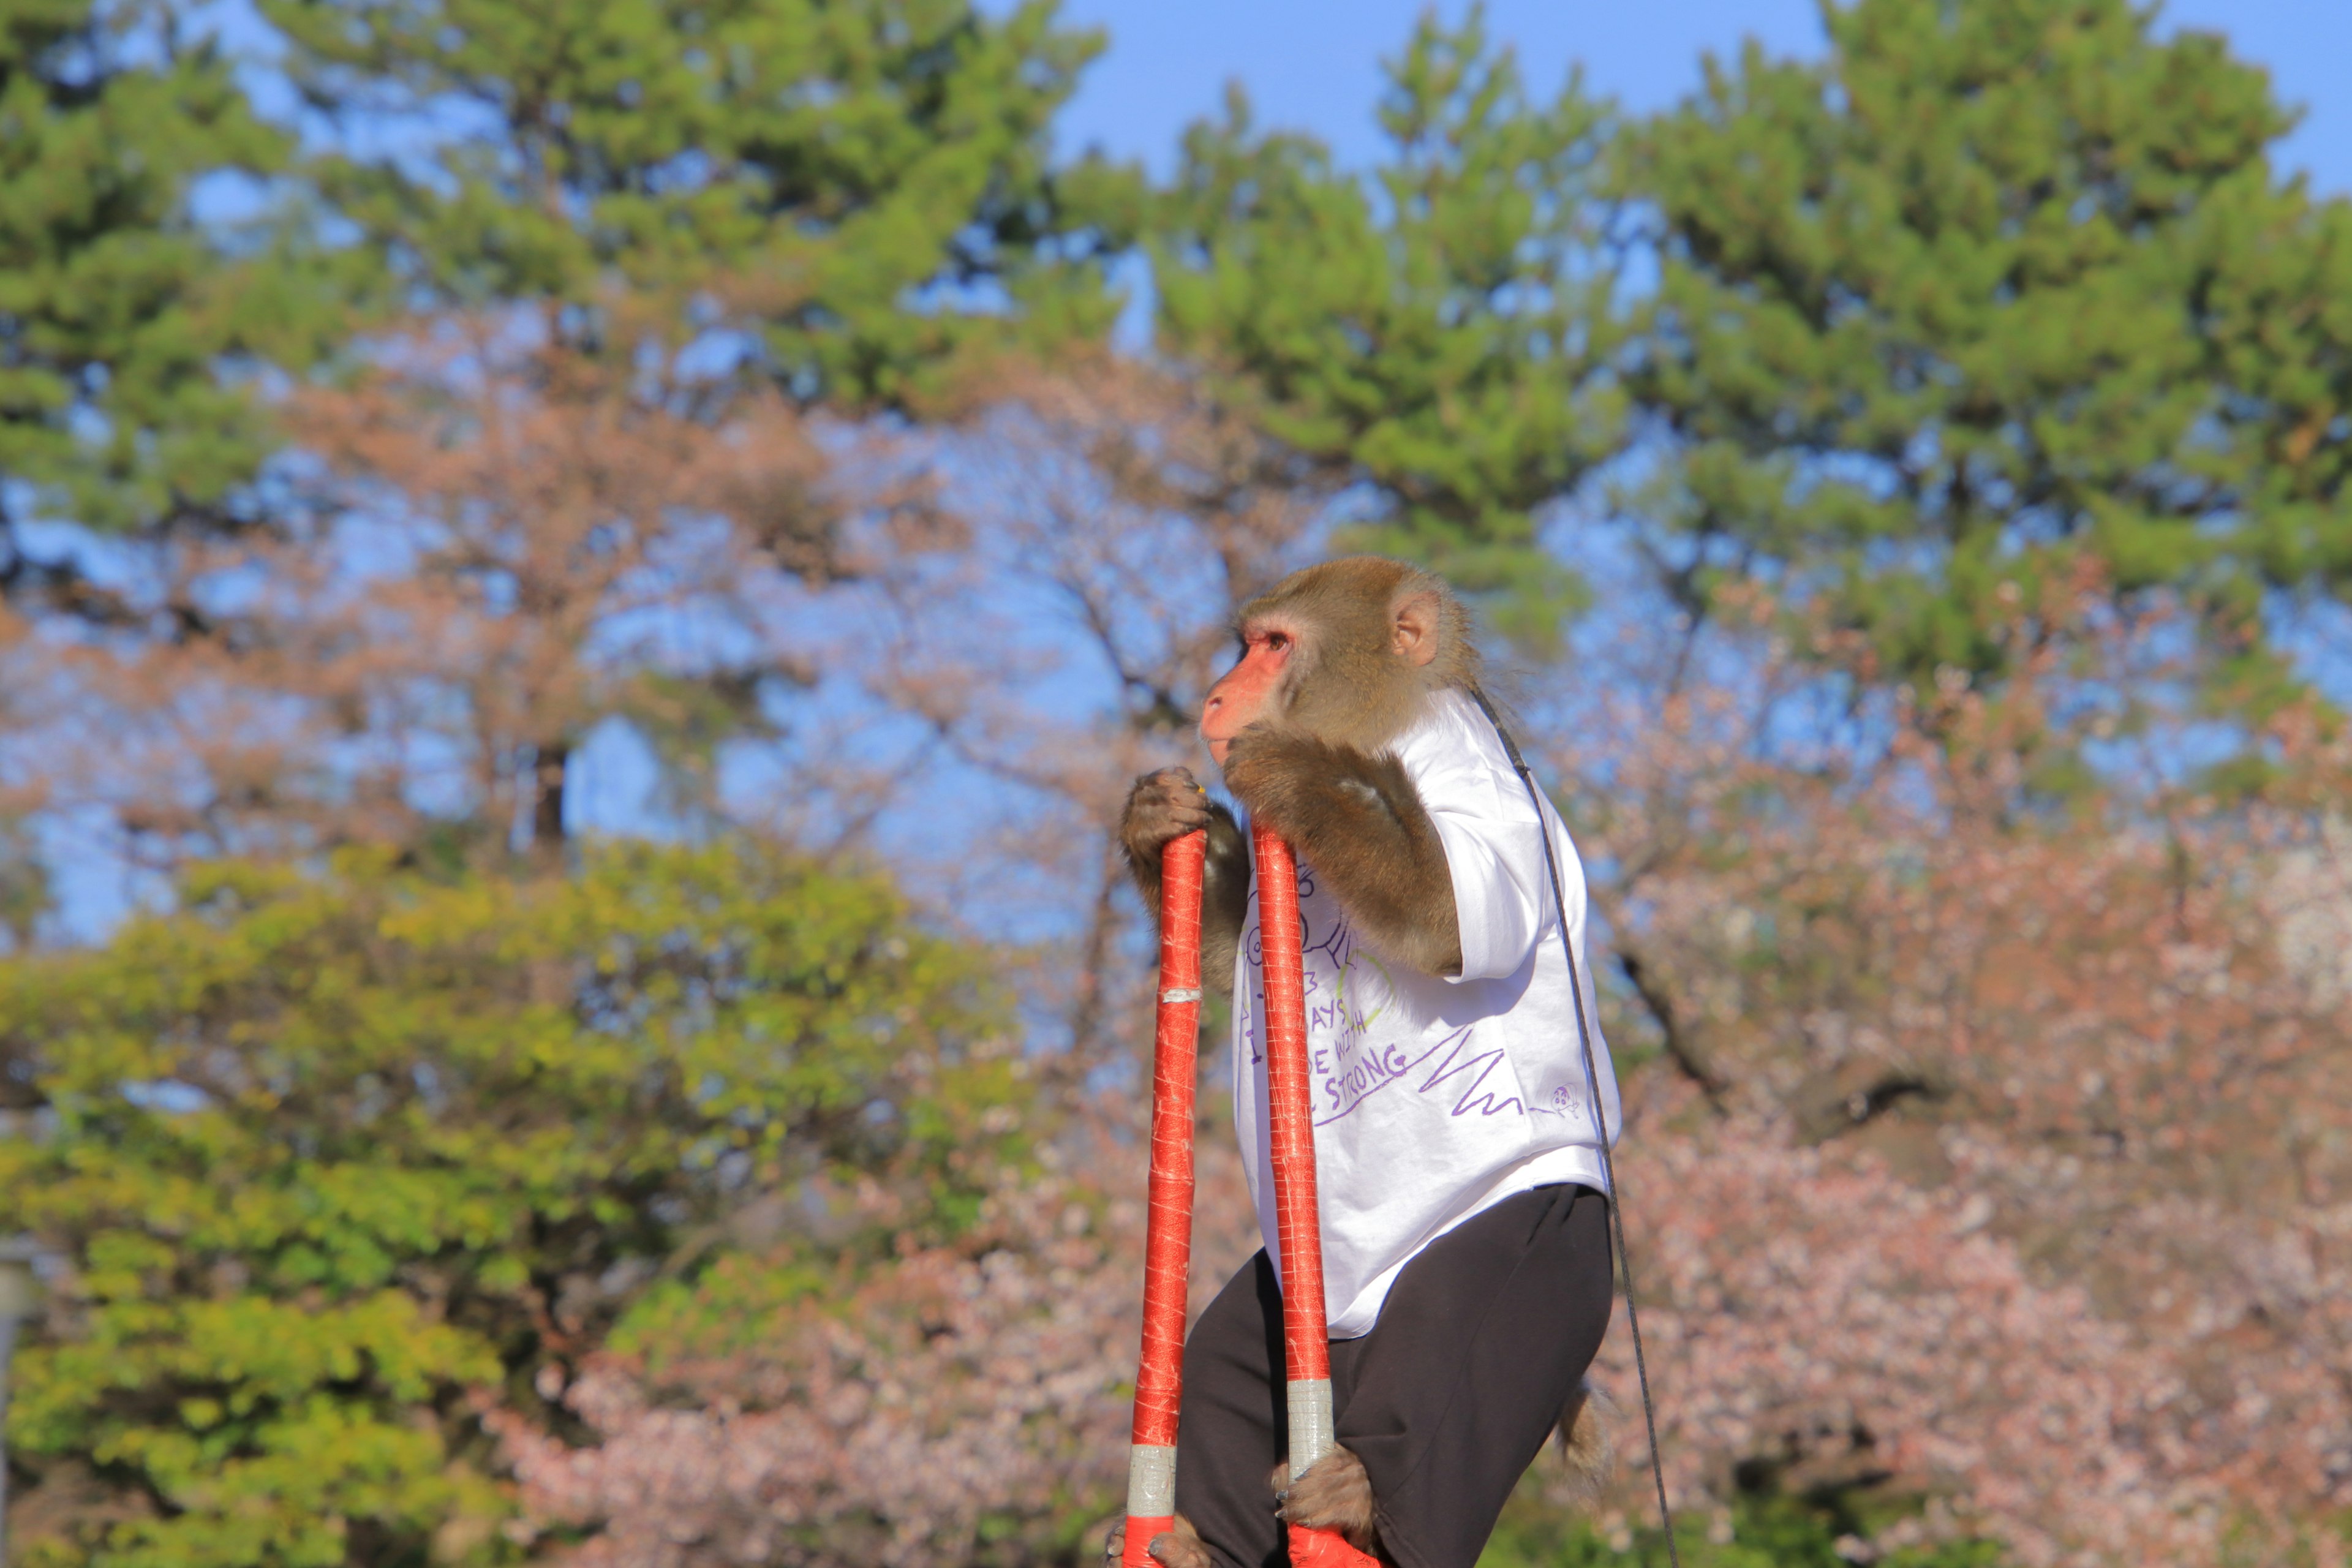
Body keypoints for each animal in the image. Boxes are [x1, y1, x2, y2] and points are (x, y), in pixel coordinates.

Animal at [1110, 554, 1627, 1568]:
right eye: (1248, 643)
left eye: (1275, 645)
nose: (1221, 693)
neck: (1395, 720)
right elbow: (1232, 958)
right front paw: (1160, 823)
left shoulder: (1479, 793)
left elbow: (1438, 920)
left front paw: (1291, 771)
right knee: (1233, 1365)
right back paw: (1187, 1540)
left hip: (1549, 1257)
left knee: (1465, 1335)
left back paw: (1356, 1499)